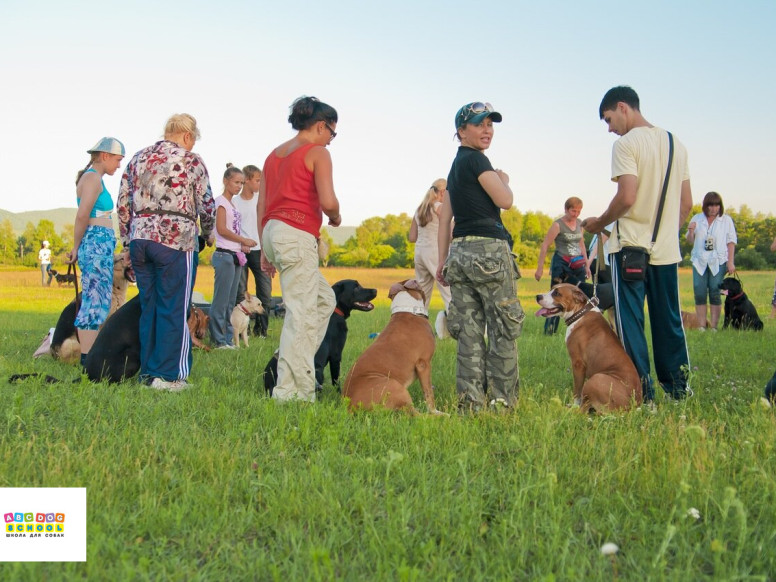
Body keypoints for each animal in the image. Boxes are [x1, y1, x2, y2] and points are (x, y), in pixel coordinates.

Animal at [342, 280, 446, 418]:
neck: (408, 309)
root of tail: (350, 407)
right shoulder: (423, 364)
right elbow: (428, 393)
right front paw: (435, 410)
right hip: (395, 386)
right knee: (417, 415)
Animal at [532, 284, 644, 412]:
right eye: (552, 289)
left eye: (557, 293)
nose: (538, 296)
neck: (580, 313)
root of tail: (633, 406)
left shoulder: (578, 364)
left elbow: (577, 391)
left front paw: (574, 403)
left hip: (596, 379)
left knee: (583, 410)